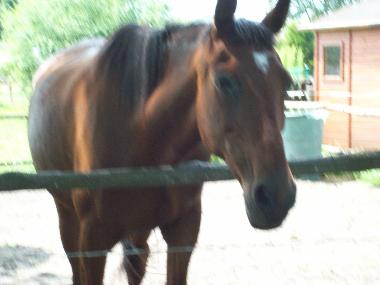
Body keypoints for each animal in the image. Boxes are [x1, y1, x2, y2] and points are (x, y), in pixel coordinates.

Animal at [29, 0, 296, 282]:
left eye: (286, 82)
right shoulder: (92, 241)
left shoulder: (184, 230)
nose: (277, 196)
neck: (142, 133)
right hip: (68, 219)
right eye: (224, 81)